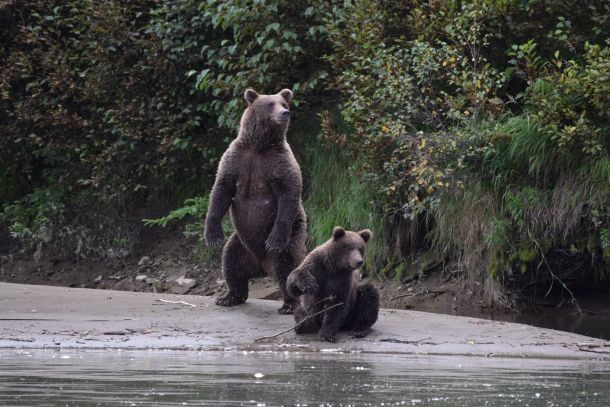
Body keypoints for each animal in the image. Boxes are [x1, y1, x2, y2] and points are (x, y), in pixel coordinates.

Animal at [204, 87, 306, 314]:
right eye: (270, 104)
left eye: (284, 104)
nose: (285, 113)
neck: (260, 146)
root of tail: (262, 267)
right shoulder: (237, 158)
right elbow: (221, 189)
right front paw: (213, 235)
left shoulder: (280, 162)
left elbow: (289, 192)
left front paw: (274, 240)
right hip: (241, 243)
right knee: (230, 263)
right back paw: (228, 297)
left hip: (291, 239)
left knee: (287, 266)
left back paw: (289, 304)